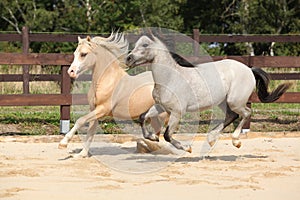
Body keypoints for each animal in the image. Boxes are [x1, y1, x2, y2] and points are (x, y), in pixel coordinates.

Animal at [125, 34, 292, 153]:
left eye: (145, 45)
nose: (128, 58)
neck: (170, 78)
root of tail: (249, 69)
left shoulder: (177, 112)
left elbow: (167, 135)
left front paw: (187, 148)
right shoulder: (161, 107)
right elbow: (142, 117)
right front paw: (152, 137)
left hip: (234, 101)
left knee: (246, 113)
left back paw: (235, 141)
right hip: (223, 102)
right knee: (232, 115)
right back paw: (211, 139)